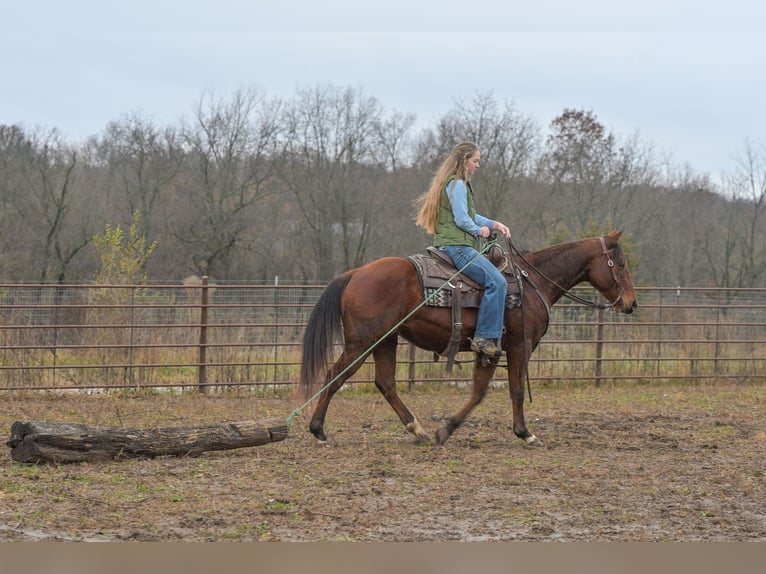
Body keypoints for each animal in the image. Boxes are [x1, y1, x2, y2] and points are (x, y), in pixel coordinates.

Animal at [299, 229, 637, 447]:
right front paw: (525, 433)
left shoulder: (489, 350)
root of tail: (355, 273)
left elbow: (478, 392)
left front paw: (445, 430)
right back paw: (318, 430)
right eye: (620, 264)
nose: (631, 303)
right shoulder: (519, 346)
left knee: (386, 383)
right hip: (362, 342)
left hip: (385, 340)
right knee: (334, 376)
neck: (532, 282)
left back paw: (418, 430)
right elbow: (515, 391)